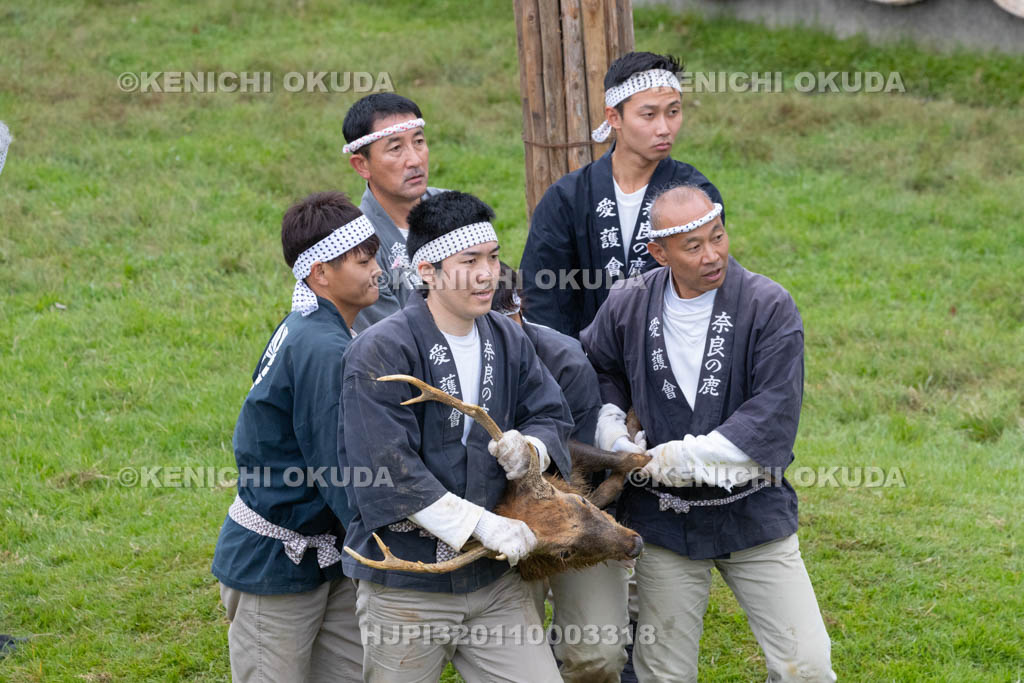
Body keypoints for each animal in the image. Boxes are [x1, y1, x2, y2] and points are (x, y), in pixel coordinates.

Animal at [343, 374, 651, 581]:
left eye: (579, 503)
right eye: (564, 553)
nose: (635, 544)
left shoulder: (569, 448)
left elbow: (626, 459)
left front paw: (640, 440)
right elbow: (617, 479)